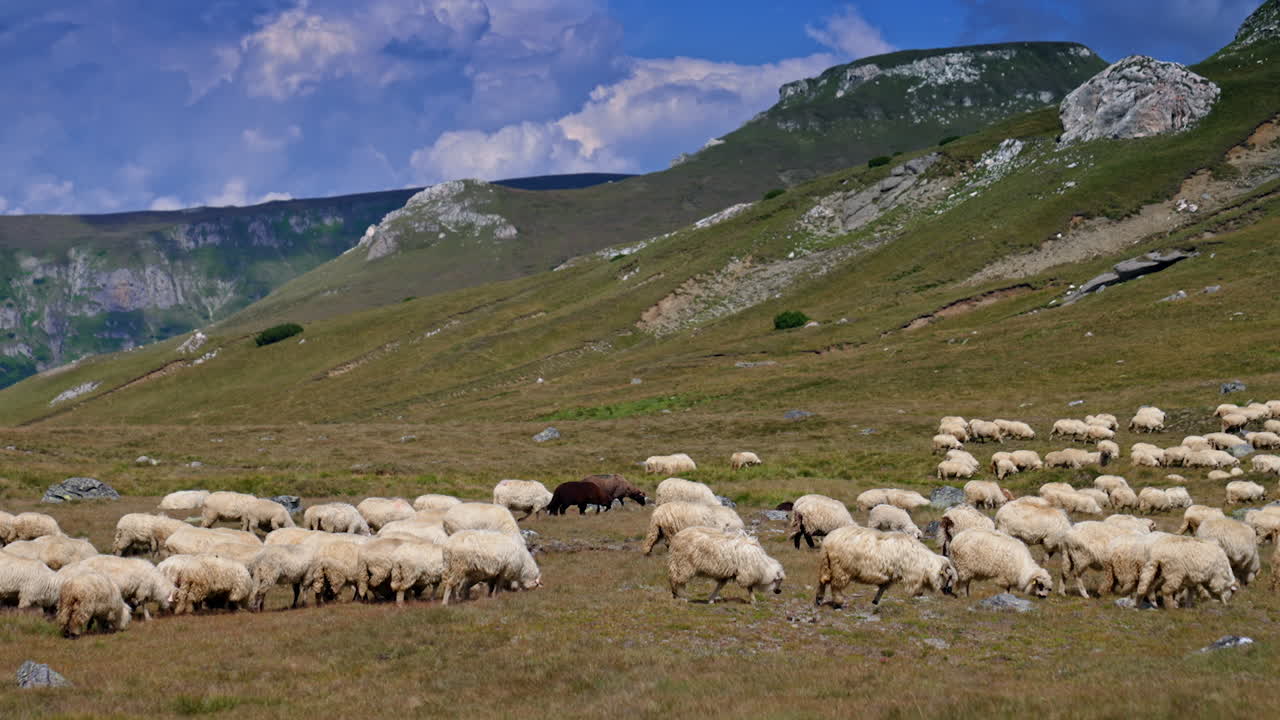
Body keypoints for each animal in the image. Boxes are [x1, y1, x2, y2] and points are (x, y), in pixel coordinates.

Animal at [814, 526, 955, 608]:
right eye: (949, 577)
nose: (949, 591)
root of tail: (828, 541)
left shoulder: (891, 575)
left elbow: (883, 587)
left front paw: (875, 601)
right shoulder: (910, 574)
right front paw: (918, 593)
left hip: (826, 565)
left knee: (822, 581)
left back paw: (819, 599)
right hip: (841, 568)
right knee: (835, 586)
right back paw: (838, 602)